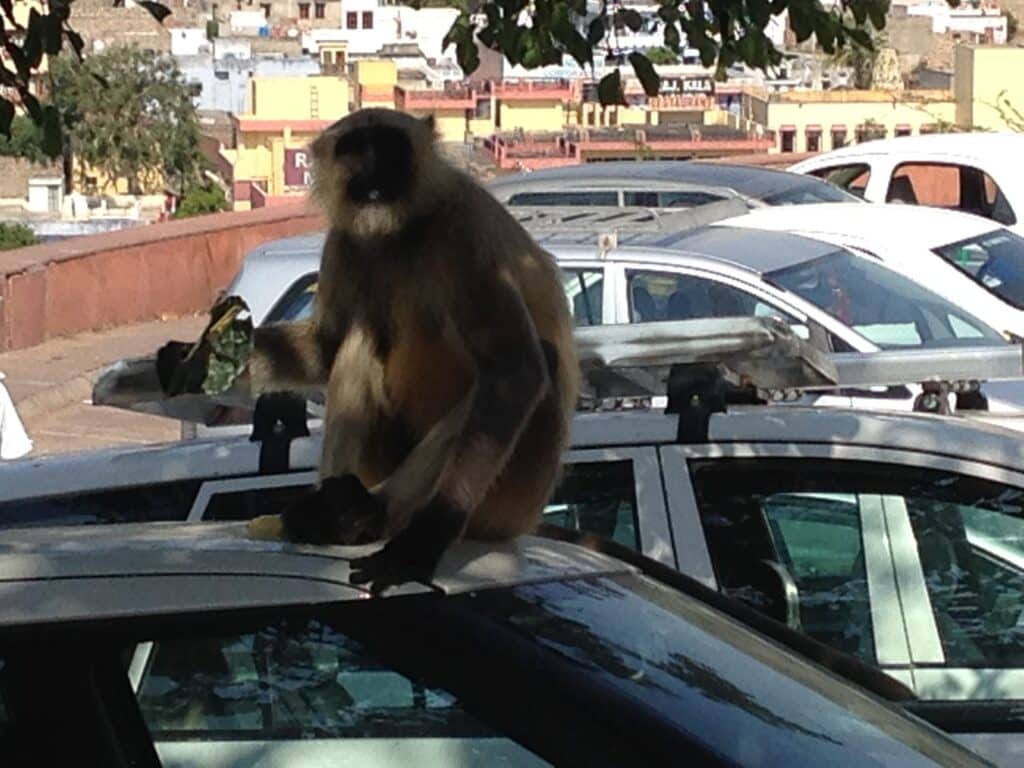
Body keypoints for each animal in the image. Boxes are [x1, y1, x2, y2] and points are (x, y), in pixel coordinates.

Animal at [159, 108, 578, 594]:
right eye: (355, 149)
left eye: (390, 146)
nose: (375, 170)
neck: (400, 231)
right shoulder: (342, 241)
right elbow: (325, 348)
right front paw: (195, 359)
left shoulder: (465, 233)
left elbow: (515, 370)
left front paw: (424, 539)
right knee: (358, 341)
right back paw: (332, 513)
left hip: (511, 501)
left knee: (538, 360)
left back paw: (371, 517)